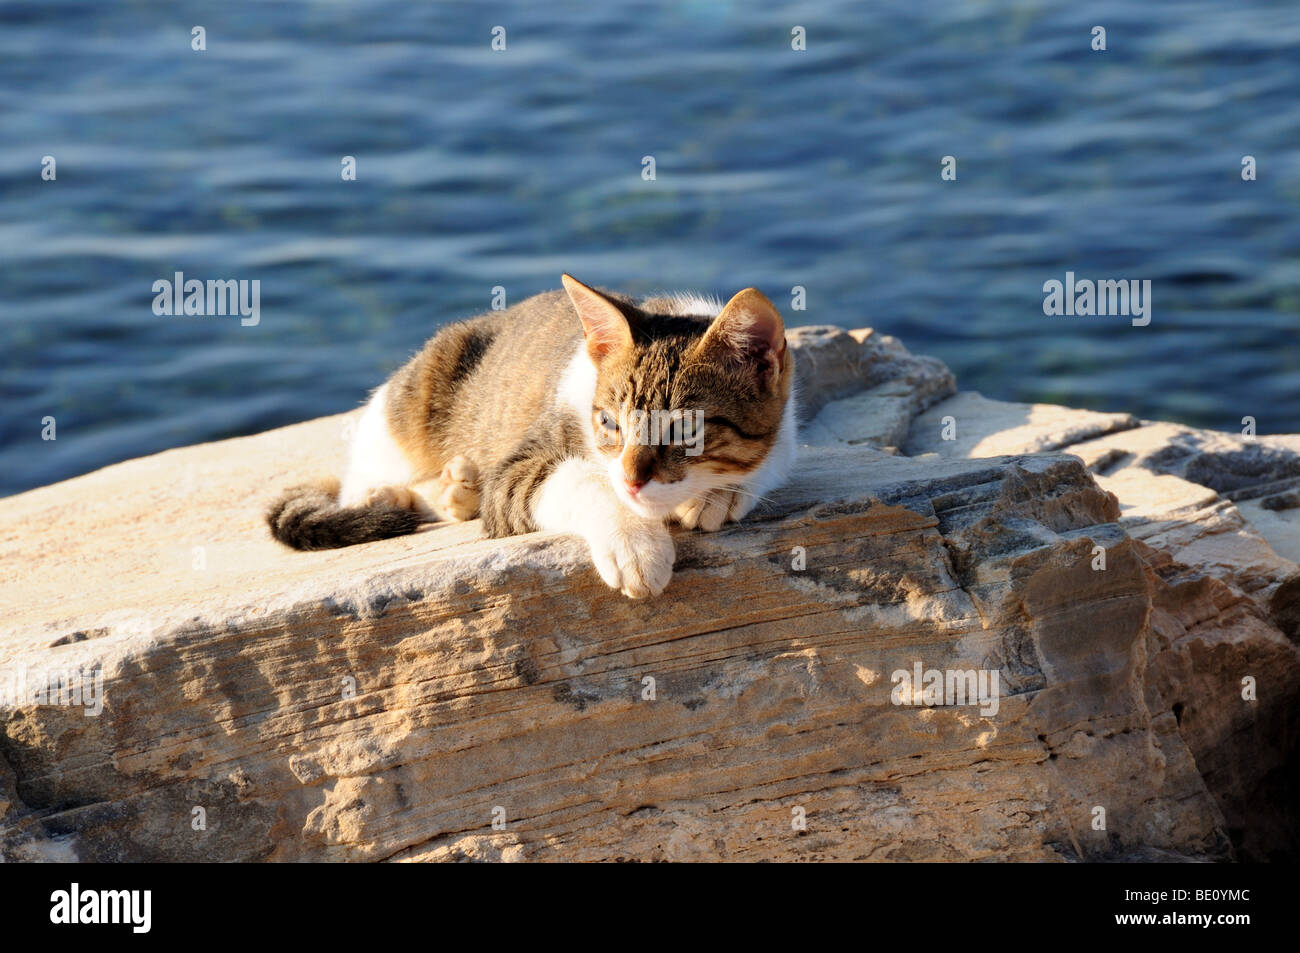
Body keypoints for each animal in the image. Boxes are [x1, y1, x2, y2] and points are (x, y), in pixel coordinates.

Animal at [263, 275, 790, 598]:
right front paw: (635, 542)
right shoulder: (521, 466)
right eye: (610, 423)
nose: (632, 479)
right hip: (407, 403)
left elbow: (773, 456)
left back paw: (458, 489)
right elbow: (575, 479)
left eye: (685, 429)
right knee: (362, 477)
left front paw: (724, 493)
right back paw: (397, 493)